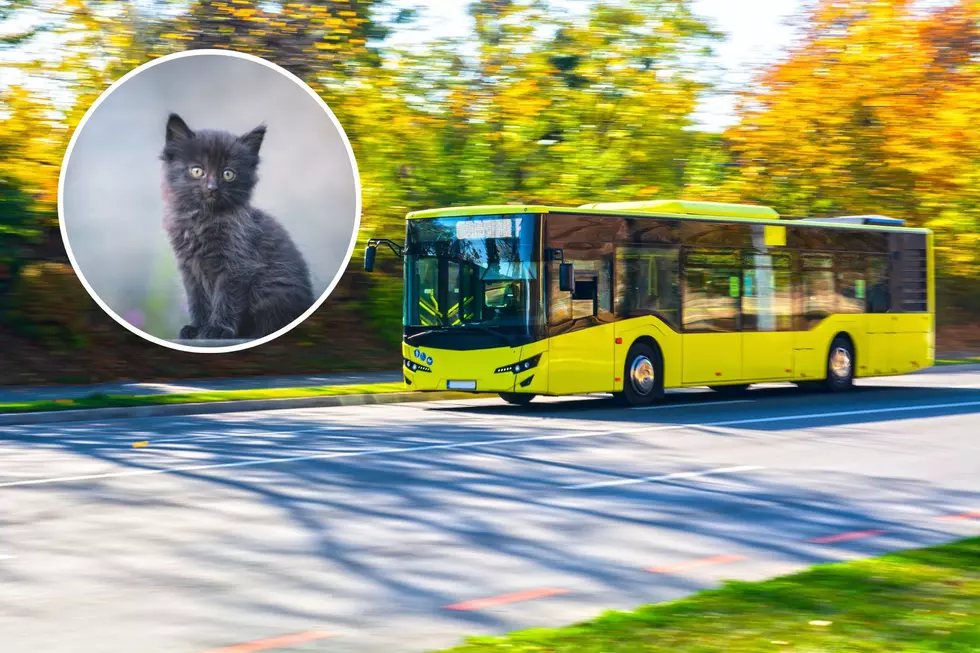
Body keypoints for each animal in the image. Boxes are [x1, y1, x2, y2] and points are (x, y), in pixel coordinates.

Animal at [161, 114, 312, 342]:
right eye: (197, 171)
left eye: (228, 174)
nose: (212, 188)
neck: (203, 220)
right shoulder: (189, 269)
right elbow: (197, 301)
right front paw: (196, 328)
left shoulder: (237, 265)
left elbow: (226, 298)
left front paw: (217, 329)